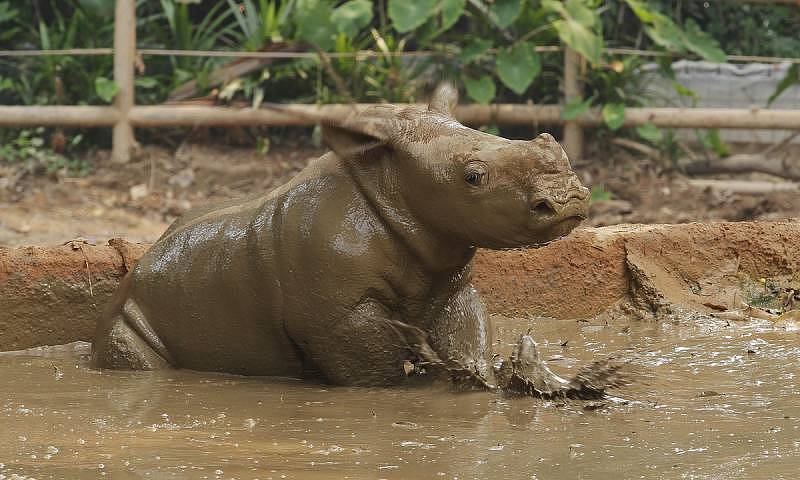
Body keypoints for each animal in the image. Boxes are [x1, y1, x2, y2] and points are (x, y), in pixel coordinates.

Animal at [92, 84, 622, 398]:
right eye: (473, 177)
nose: (570, 200)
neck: (389, 185)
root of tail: (133, 273)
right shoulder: (336, 318)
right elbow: (377, 372)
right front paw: (430, 389)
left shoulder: (448, 277)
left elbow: (466, 333)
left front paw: (483, 381)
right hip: (128, 318)